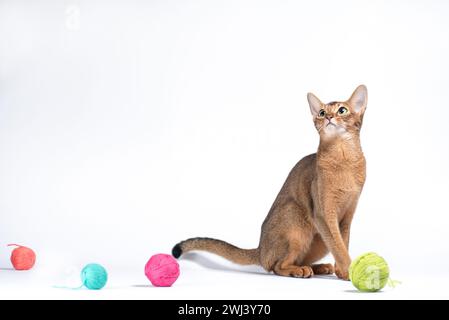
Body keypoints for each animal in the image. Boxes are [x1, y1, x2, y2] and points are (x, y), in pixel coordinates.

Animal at [172, 85, 368, 280]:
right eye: (321, 112)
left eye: (342, 110)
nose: (328, 117)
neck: (344, 159)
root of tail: (260, 250)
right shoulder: (323, 214)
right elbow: (338, 246)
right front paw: (349, 270)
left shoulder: (347, 216)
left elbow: (343, 243)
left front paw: (342, 271)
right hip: (295, 217)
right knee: (276, 266)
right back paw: (299, 270)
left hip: (318, 241)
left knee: (297, 259)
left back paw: (318, 267)